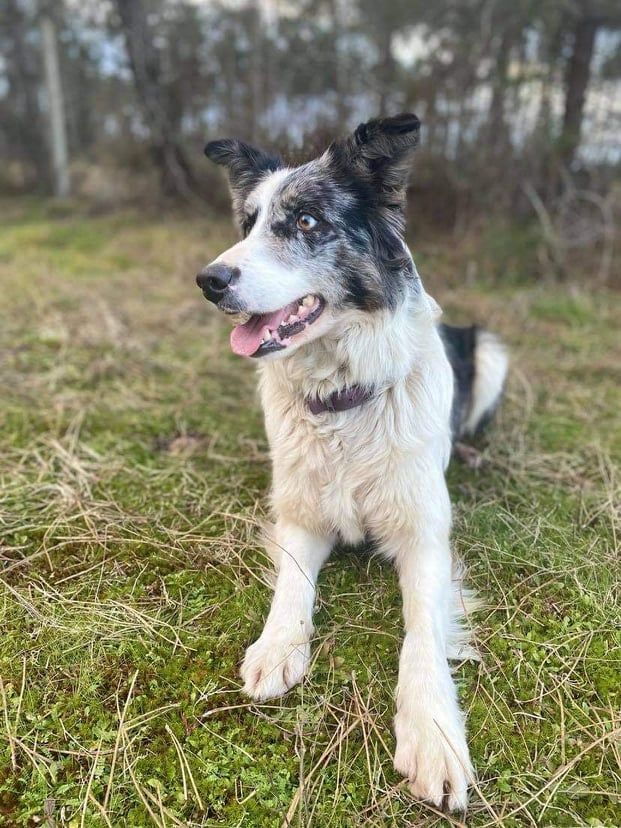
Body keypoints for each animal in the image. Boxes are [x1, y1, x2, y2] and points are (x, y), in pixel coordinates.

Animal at [196, 113, 506, 812]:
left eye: (306, 221)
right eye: (247, 224)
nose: (209, 281)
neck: (343, 400)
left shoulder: (424, 536)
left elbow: (422, 631)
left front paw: (432, 733)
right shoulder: (301, 516)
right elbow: (292, 586)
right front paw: (278, 647)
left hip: (491, 350)